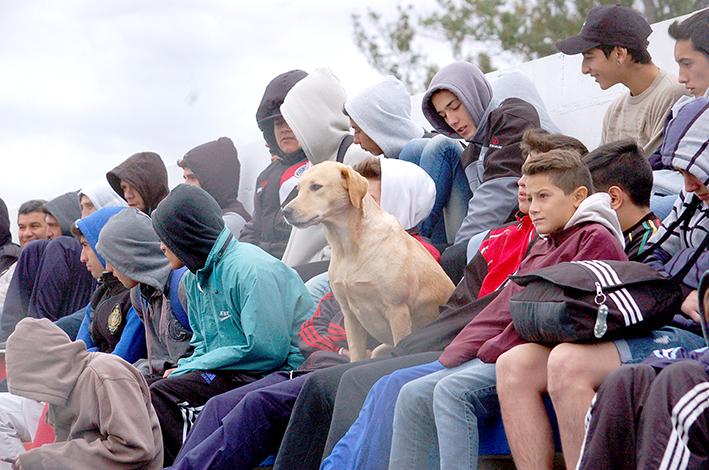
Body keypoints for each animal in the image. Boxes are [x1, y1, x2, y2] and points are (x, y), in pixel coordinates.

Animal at [282, 160, 454, 362]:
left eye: (316, 186)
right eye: (298, 189)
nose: (285, 211)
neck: (348, 248)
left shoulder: (398, 311)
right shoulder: (349, 314)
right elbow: (356, 355)